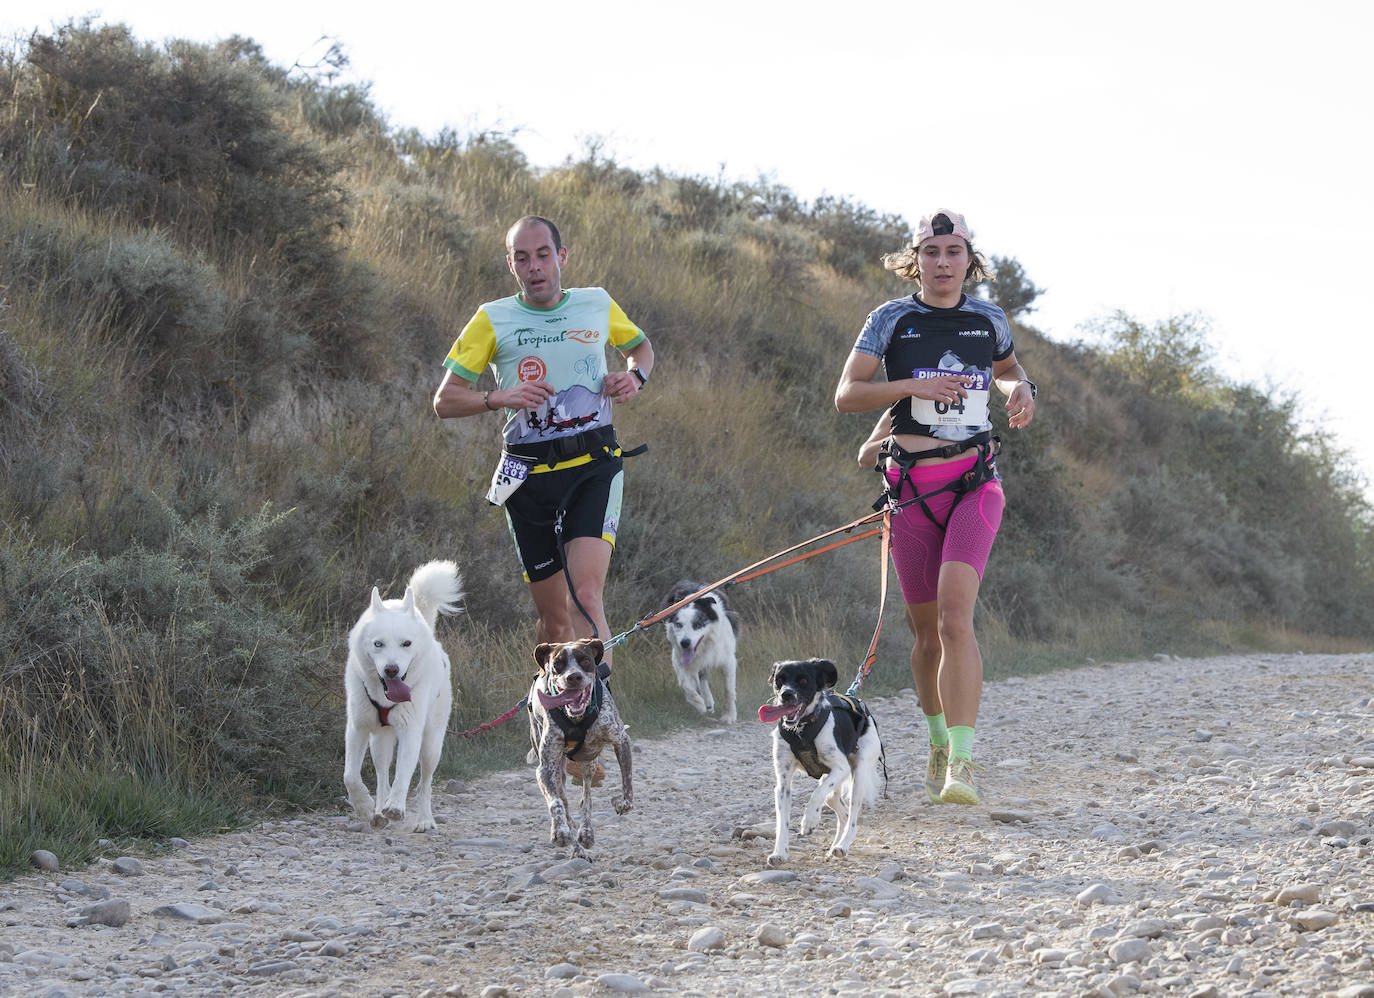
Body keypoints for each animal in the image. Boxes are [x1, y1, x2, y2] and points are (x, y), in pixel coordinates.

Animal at [346, 563, 464, 835]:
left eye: (406, 643)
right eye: (378, 644)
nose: (391, 670)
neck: (384, 698)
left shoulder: (411, 731)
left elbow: (404, 773)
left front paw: (396, 807)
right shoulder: (357, 728)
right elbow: (351, 776)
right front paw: (365, 807)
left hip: (431, 745)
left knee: (424, 783)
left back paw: (424, 820)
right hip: (379, 742)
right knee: (381, 775)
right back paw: (378, 811)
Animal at [524, 640, 632, 857]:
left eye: (585, 660)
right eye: (558, 663)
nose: (573, 677)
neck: (576, 719)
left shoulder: (621, 740)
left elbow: (627, 791)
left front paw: (620, 803)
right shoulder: (545, 768)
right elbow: (556, 803)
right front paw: (559, 832)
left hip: (589, 763)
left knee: (586, 797)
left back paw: (587, 832)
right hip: (558, 770)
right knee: (565, 802)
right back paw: (577, 847)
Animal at [665, 577, 741, 725]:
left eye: (697, 624)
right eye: (678, 624)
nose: (685, 643)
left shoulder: (728, 660)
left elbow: (728, 690)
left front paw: (729, 715)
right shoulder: (678, 659)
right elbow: (685, 685)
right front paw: (699, 704)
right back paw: (707, 701)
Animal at [763, 659, 879, 863]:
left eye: (803, 681)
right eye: (779, 680)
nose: (786, 694)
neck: (801, 730)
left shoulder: (841, 768)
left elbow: (816, 794)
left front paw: (809, 821)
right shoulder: (783, 784)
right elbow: (782, 821)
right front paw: (779, 852)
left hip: (858, 776)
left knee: (852, 818)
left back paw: (842, 845)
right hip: (833, 787)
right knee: (842, 811)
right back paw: (834, 845)